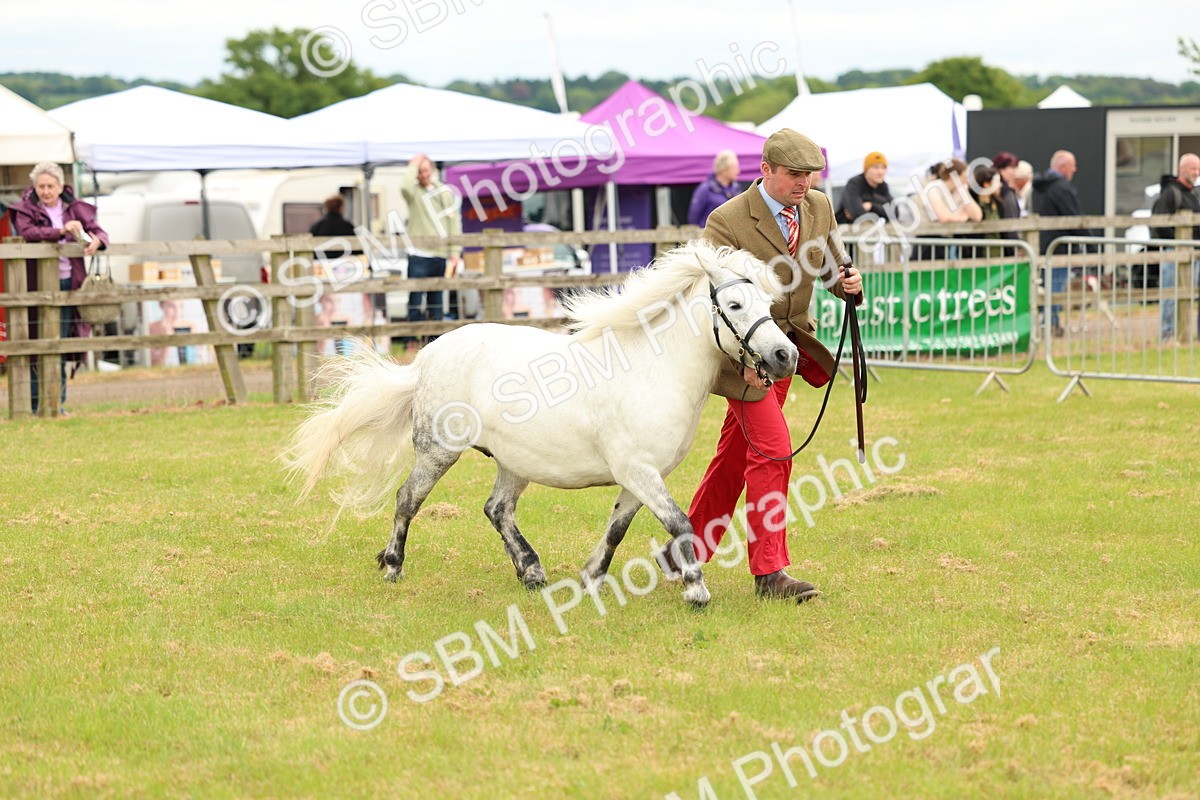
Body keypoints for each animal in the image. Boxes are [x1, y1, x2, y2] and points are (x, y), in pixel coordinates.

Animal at [285, 240, 798, 607]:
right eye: (735, 306)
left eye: (768, 303)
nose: (785, 356)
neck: (653, 371)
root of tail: (428, 354)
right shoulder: (638, 471)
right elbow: (680, 523)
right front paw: (696, 590)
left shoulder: (642, 477)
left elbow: (618, 528)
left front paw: (591, 577)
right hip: (438, 451)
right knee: (408, 499)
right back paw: (394, 566)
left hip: (514, 462)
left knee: (497, 509)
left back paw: (531, 571)